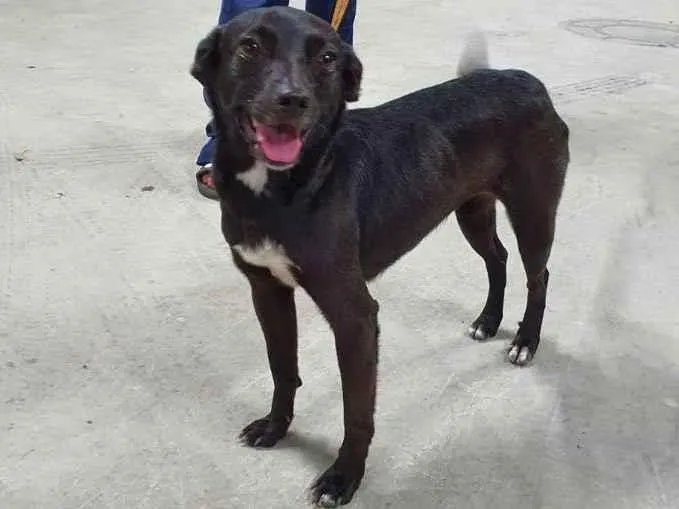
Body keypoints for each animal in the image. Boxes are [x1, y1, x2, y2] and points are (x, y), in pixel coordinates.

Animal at [190, 6, 569, 507]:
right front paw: (275, 427)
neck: (288, 186)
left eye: (328, 58)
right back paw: (488, 321)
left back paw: (525, 341)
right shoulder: (266, 290)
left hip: (533, 212)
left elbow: (356, 412)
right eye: (249, 46)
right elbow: (282, 368)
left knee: (537, 274)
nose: (292, 100)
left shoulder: (355, 315)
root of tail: (528, 80)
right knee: (498, 259)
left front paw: (343, 478)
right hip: (472, 209)